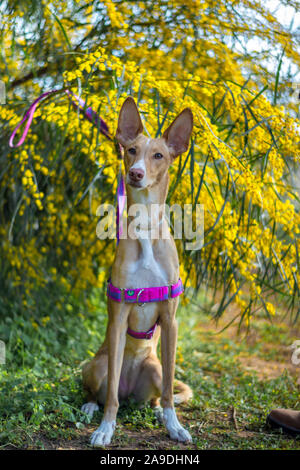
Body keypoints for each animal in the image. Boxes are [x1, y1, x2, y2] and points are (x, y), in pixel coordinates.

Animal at [81, 97, 193, 446]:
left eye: (159, 155)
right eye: (130, 149)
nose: (135, 173)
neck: (144, 227)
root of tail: (132, 391)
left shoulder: (171, 321)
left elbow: (170, 390)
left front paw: (174, 425)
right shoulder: (117, 319)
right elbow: (110, 398)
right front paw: (105, 429)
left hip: (153, 368)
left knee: (157, 394)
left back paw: (156, 412)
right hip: (95, 366)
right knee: (103, 391)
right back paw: (90, 407)